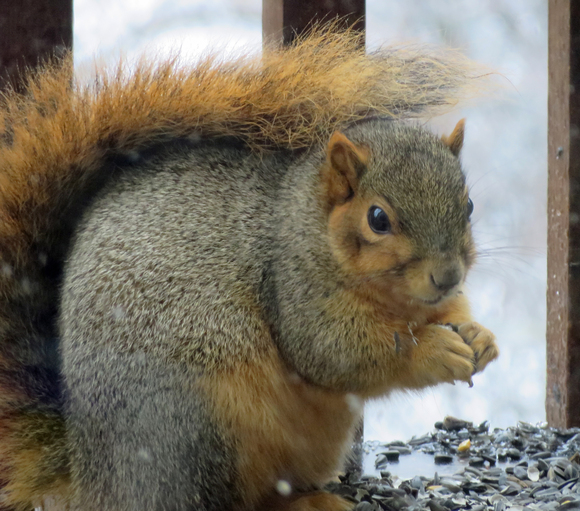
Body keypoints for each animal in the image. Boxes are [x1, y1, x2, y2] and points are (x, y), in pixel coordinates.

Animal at [0, 28, 498, 511]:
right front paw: (434, 350)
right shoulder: (293, 287)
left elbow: (445, 316)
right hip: (202, 427)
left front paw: (479, 338)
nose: (447, 276)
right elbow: (338, 351)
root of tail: (94, 481)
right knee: (225, 501)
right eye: (378, 219)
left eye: (470, 205)